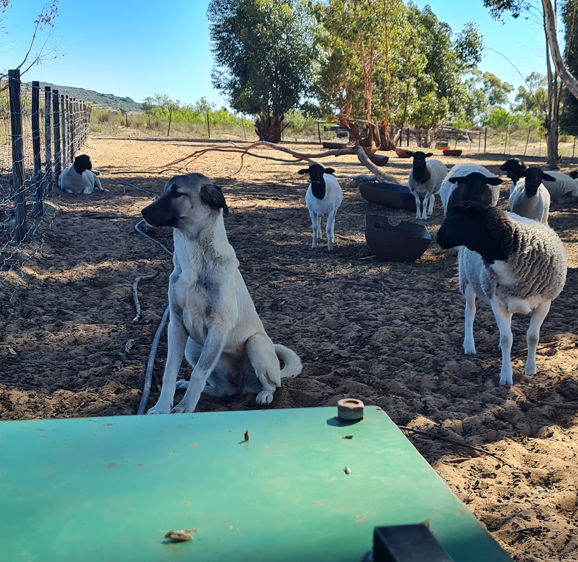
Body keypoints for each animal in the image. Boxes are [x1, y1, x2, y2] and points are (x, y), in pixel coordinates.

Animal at [141, 173, 302, 414]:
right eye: (163, 192)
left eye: (177, 193)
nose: (143, 212)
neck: (194, 257)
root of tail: (242, 385)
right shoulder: (176, 325)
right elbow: (169, 372)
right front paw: (162, 408)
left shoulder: (218, 325)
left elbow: (199, 372)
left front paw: (184, 407)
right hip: (193, 347)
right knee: (223, 390)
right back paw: (194, 386)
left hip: (255, 344)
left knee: (273, 385)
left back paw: (264, 395)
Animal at [437, 201, 567, 386]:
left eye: (456, 219)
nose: (438, 238)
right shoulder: (496, 302)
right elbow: (506, 339)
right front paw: (506, 376)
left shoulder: (544, 303)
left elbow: (533, 337)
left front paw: (530, 369)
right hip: (467, 281)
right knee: (470, 313)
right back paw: (469, 345)